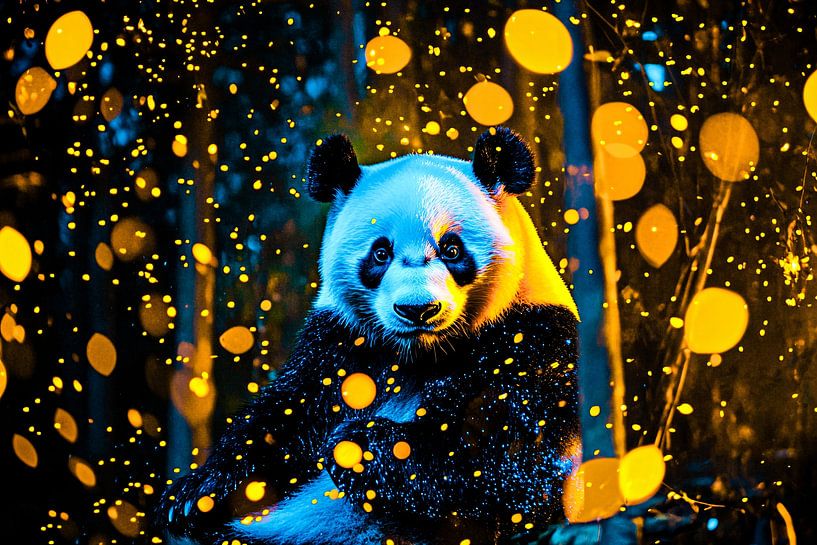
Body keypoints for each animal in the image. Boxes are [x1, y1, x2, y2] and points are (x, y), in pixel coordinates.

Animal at [157, 127, 581, 545]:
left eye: (451, 249)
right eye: (380, 253)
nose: (417, 309)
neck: (422, 353)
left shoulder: (532, 339)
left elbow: (511, 460)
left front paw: (359, 445)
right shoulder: (341, 343)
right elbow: (284, 416)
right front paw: (195, 495)